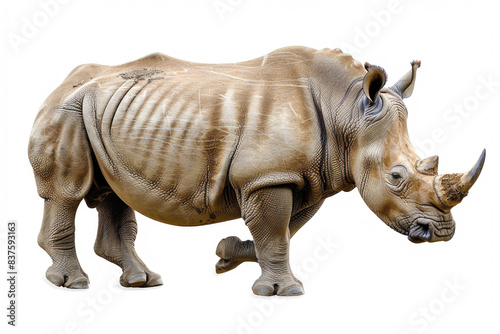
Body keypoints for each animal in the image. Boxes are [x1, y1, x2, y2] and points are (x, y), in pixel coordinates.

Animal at [28, 46, 484, 294]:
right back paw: (73, 283)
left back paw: (143, 280)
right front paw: (284, 291)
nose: (442, 234)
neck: (347, 112)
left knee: (112, 192)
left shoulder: (301, 177)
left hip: (102, 112)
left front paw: (226, 254)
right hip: (66, 110)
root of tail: (59, 82)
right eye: (397, 177)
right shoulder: (267, 177)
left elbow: (281, 231)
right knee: (68, 193)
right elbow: (276, 232)